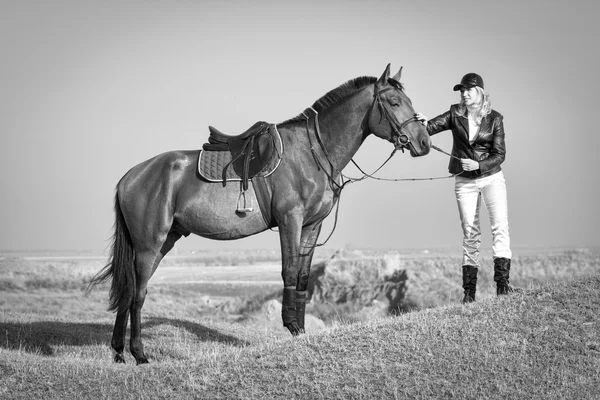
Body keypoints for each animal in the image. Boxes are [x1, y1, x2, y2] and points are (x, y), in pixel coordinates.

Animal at [86, 63, 428, 366]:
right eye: (394, 102)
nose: (424, 142)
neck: (312, 153)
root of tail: (130, 177)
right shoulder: (291, 220)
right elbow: (289, 272)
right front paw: (292, 326)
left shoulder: (312, 227)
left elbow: (303, 278)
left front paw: (301, 329)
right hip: (149, 245)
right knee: (137, 294)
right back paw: (139, 354)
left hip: (161, 242)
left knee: (128, 290)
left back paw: (119, 353)